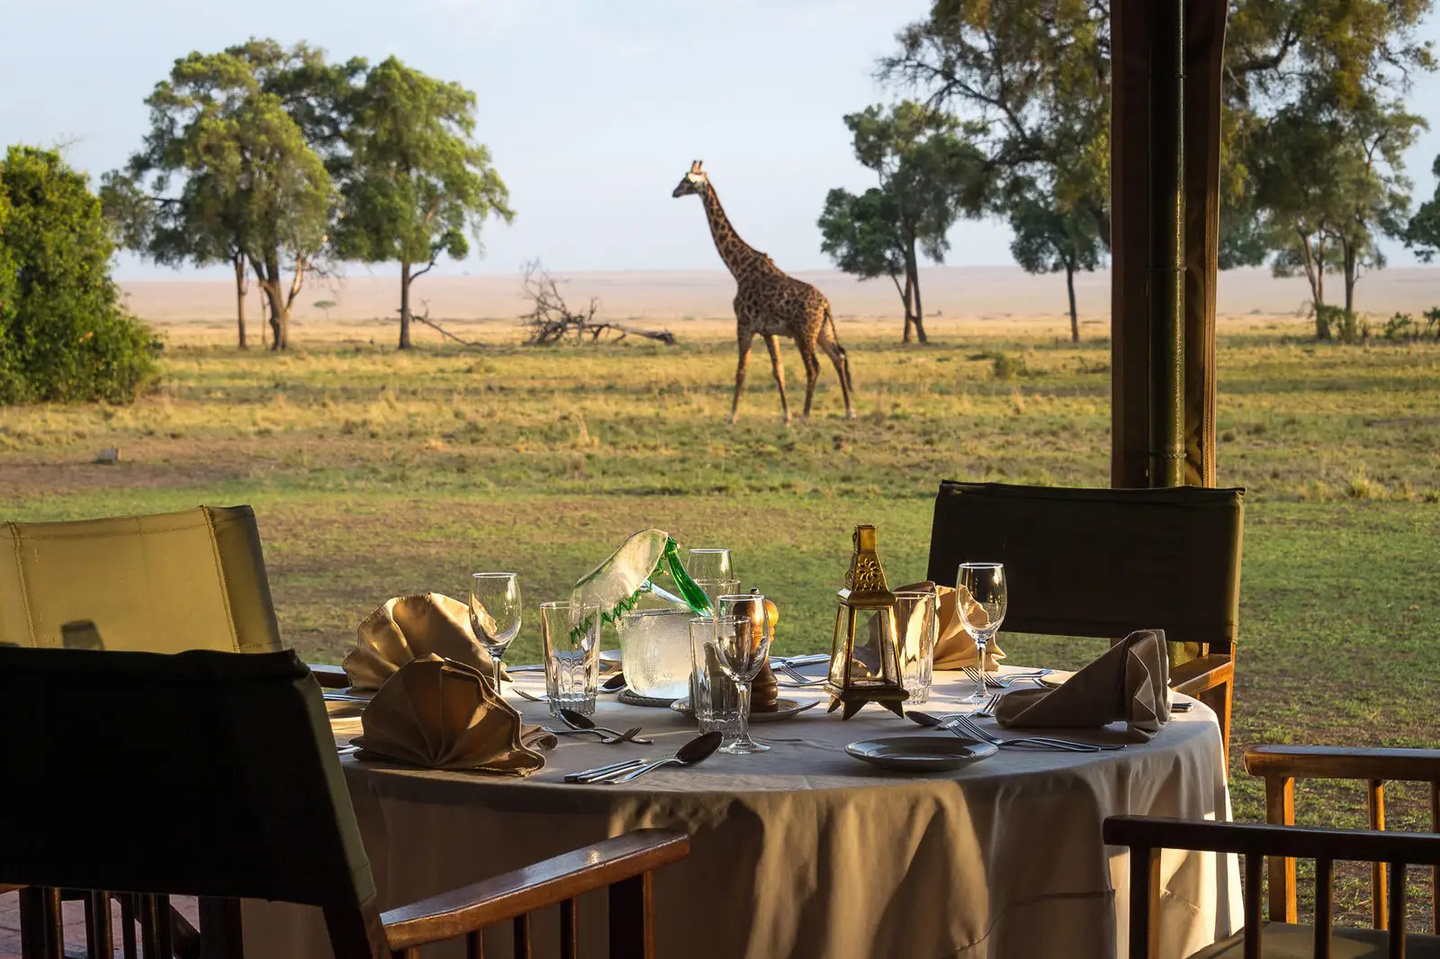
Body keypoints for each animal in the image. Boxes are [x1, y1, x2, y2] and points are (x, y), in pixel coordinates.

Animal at [672, 160, 856, 425]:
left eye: (686, 180)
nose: (674, 192)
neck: (738, 268)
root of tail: (825, 305)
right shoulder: (769, 331)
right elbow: (778, 371)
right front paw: (786, 416)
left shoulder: (744, 324)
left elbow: (741, 371)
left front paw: (732, 416)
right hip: (823, 330)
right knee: (838, 358)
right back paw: (849, 411)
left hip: (804, 333)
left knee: (814, 367)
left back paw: (806, 415)